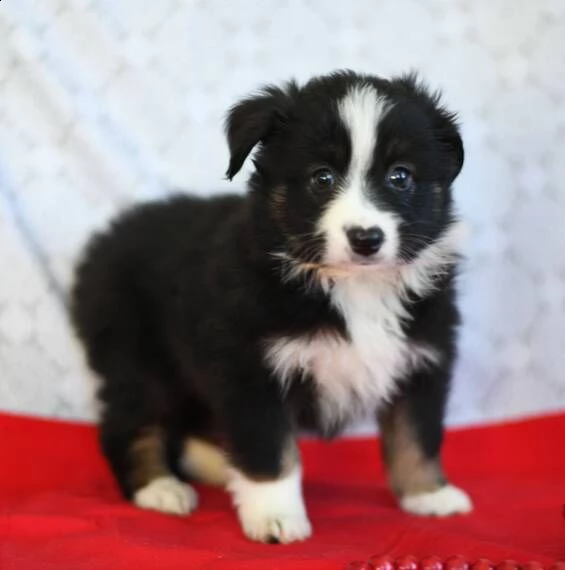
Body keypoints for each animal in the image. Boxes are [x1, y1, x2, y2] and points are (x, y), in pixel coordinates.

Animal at [70, 70, 472, 540]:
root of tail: (103, 244)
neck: (350, 286)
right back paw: (160, 488)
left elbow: (417, 433)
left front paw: (429, 495)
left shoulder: (422, 359)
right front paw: (275, 517)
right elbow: (269, 449)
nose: (366, 238)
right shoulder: (251, 367)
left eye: (400, 176)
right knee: (130, 423)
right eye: (322, 178)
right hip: (140, 360)